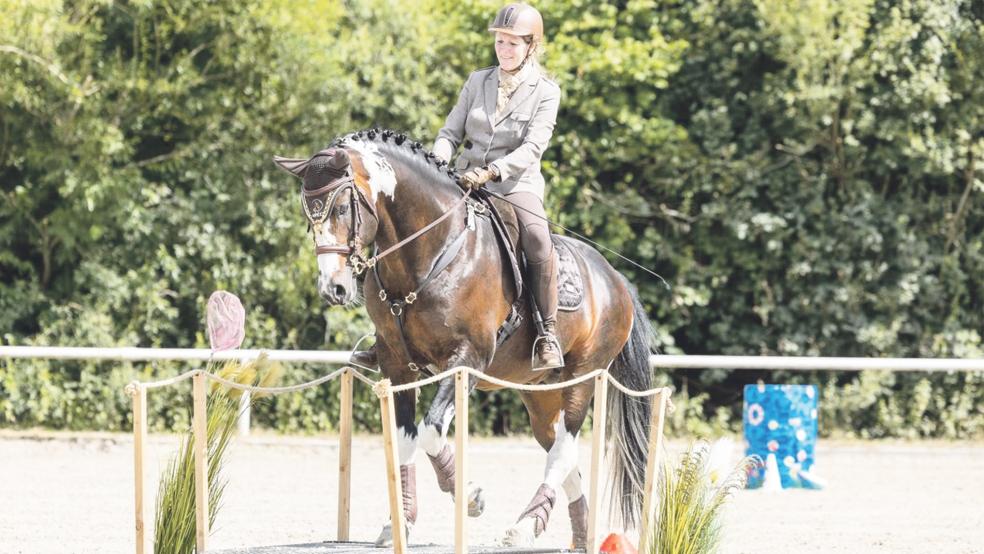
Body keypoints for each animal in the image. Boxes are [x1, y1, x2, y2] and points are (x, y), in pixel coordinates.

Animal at [274, 129, 652, 548]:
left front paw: (470, 496)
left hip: (583, 377)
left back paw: (523, 527)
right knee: (556, 444)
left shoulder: (466, 360)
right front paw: (400, 524)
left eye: (341, 209)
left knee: (564, 447)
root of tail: (615, 279)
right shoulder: (397, 365)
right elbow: (405, 439)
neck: (428, 255)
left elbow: (430, 431)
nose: (334, 289)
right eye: (309, 214)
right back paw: (572, 533)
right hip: (539, 391)